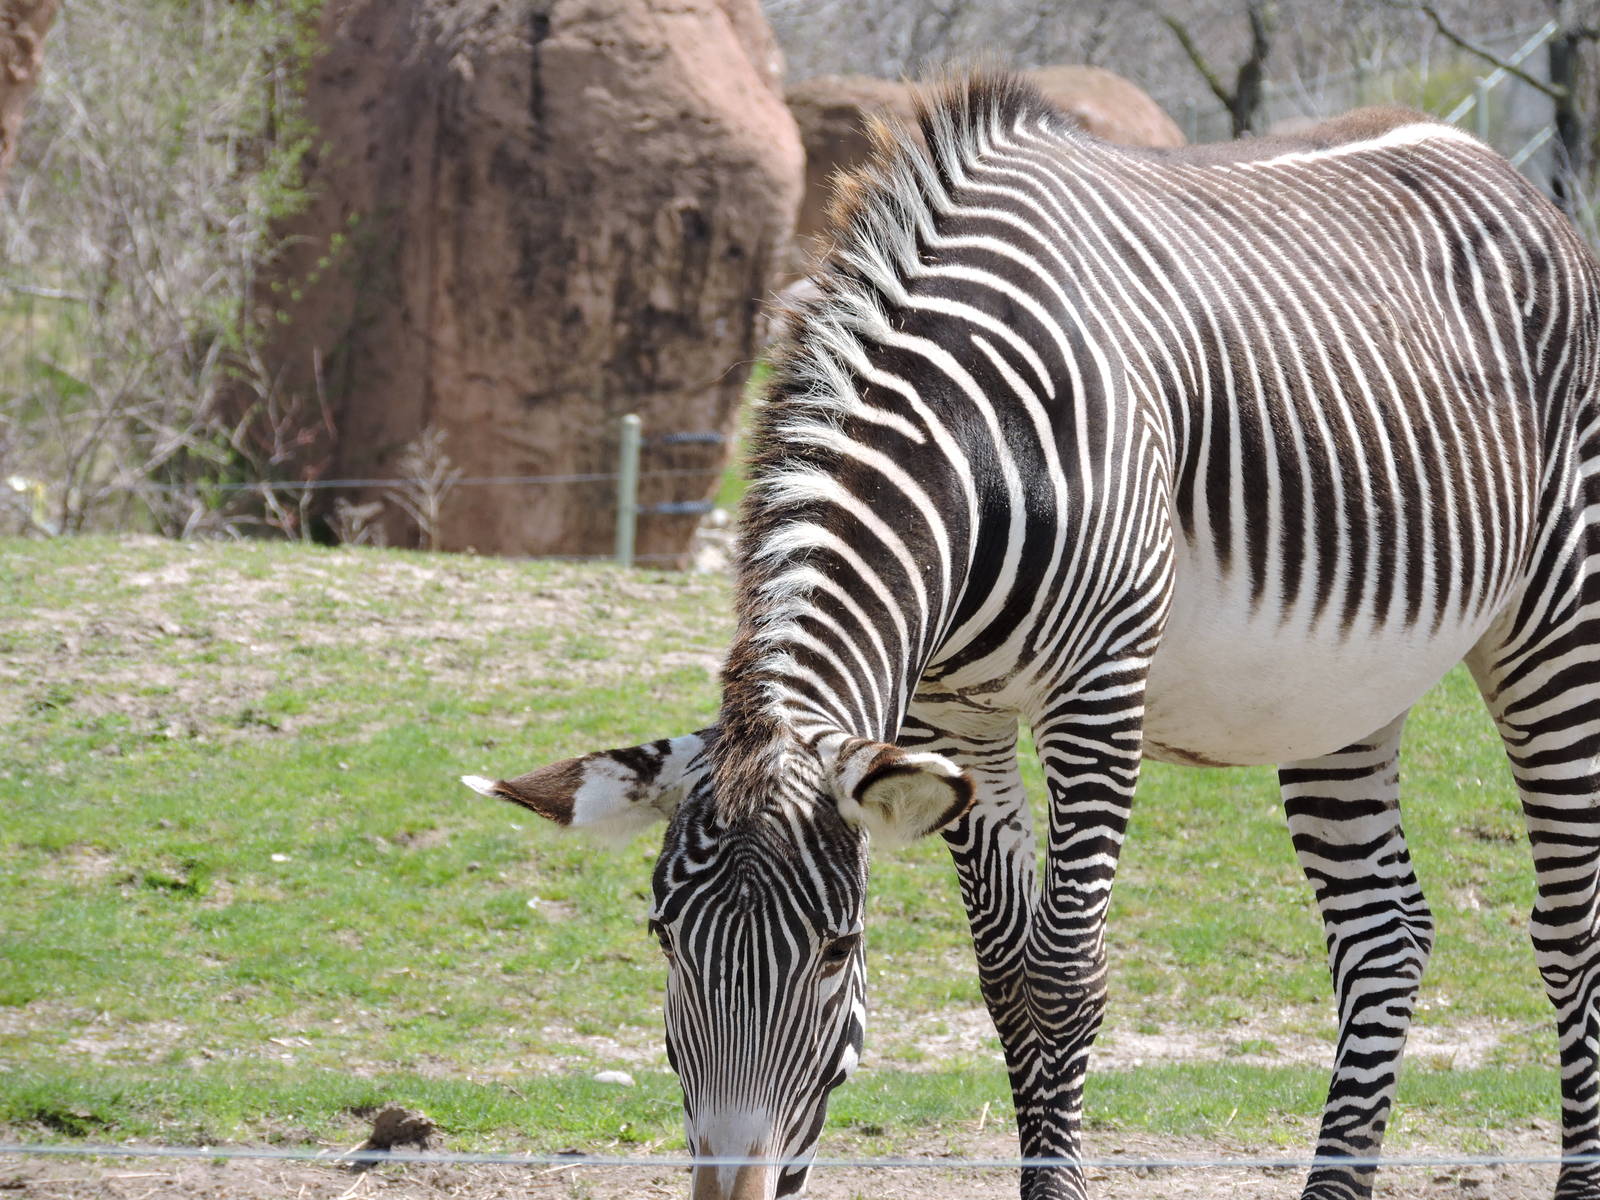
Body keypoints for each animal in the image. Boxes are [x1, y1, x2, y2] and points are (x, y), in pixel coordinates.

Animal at [463, 73, 1600, 1200]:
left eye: (837, 948)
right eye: (663, 941)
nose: (734, 1195)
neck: (978, 449)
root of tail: (1501, 170)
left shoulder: (1096, 692)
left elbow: (1063, 975)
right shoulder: (952, 718)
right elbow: (1006, 976)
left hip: (1558, 620)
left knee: (1568, 929)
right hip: (1340, 689)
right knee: (1384, 936)